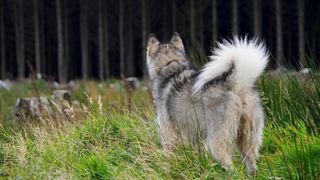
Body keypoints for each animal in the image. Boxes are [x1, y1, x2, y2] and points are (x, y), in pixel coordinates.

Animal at [146, 32, 268, 174]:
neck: (170, 64)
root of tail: (236, 84)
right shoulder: (198, 137)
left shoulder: (168, 133)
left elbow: (167, 153)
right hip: (248, 141)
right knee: (252, 164)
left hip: (217, 142)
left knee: (231, 168)